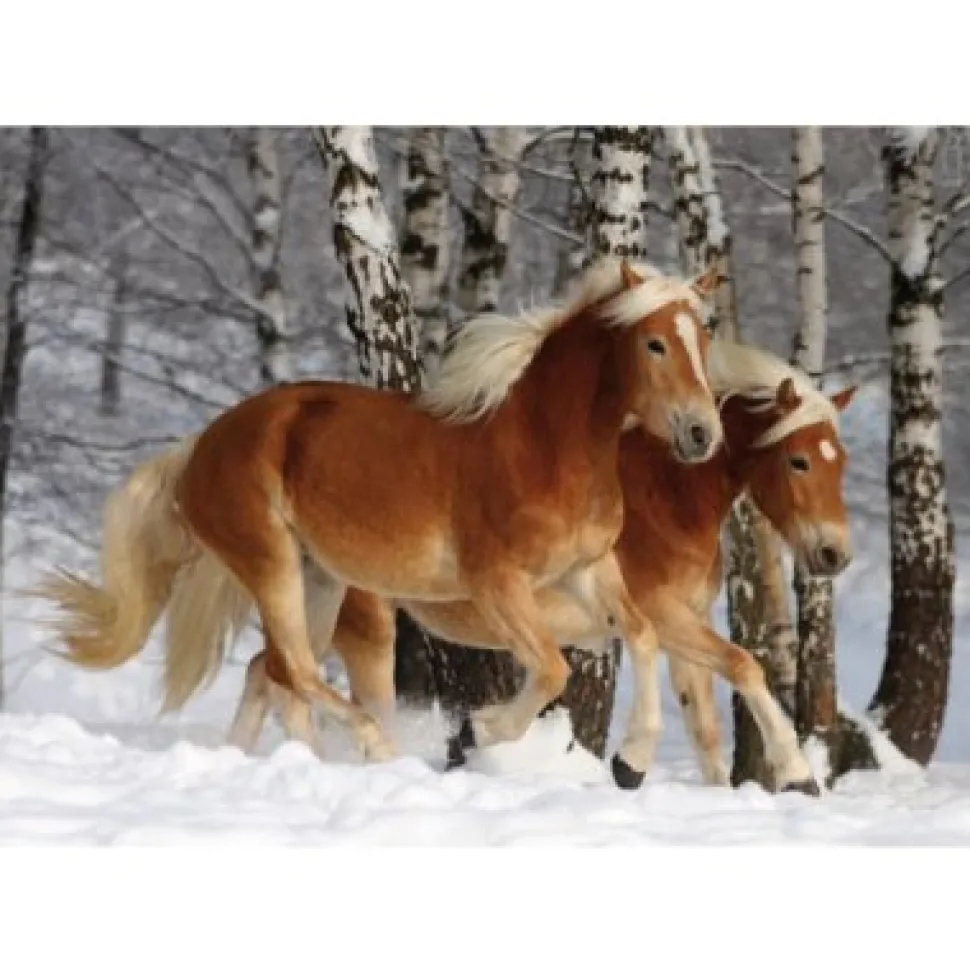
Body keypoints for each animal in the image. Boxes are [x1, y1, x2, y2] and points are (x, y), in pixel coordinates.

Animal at [30, 258, 723, 777]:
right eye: (655, 343)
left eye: (704, 340)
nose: (702, 434)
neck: (546, 449)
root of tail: (202, 443)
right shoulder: (496, 583)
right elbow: (553, 667)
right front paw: (480, 730)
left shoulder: (589, 569)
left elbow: (643, 635)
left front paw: (632, 764)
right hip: (274, 565)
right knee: (299, 671)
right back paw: (377, 749)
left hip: (319, 578)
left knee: (275, 671)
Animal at [215, 341, 856, 796]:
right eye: (798, 460)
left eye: (839, 460)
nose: (834, 556)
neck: (666, 498)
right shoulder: (665, 616)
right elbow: (746, 666)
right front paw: (795, 773)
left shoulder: (682, 627)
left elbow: (708, 726)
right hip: (364, 630)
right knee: (297, 682)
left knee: (266, 673)